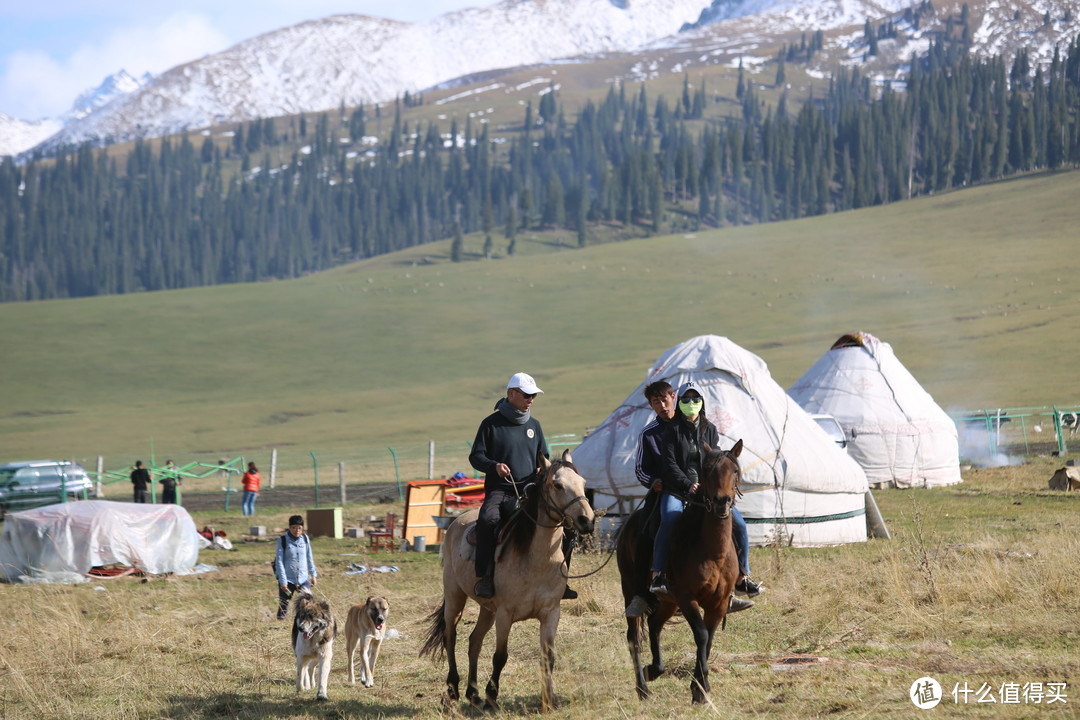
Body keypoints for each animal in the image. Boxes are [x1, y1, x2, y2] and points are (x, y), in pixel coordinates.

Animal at [416, 446, 596, 712]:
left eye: (583, 483)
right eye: (557, 485)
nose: (587, 520)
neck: (536, 559)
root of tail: (456, 521)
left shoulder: (551, 613)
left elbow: (548, 657)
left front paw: (549, 700)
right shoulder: (505, 614)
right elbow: (500, 656)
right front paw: (492, 697)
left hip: (487, 608)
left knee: (474, 640)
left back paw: (473, 693)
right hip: (455, 597)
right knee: (451, 637)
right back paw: (453, 689)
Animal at [617, 440, 743, 703]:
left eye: (735, 470)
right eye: (707, 471)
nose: (722, 502)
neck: (712, 552)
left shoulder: (718, 604)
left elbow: (708, 639)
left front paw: (699, 688)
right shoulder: (687, 598)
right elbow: (702, 635)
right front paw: (700, 689)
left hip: (668, 602)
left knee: (654, 624)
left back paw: (654, 669)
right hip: (631, 590)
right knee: (634, 638)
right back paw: (643, 688)